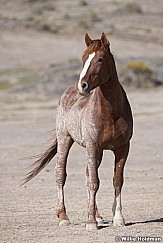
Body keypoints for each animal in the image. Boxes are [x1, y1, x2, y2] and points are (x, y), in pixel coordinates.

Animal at [23, 32, 133, 232]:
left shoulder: (122, 148)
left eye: (100, 59)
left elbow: (116, 181)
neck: (110, 111)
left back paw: (98, 216)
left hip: (97, 152)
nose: (82, 86)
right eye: (83, 58)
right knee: (61, 174)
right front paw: (90, 223)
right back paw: (63, 217)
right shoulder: (92, 146)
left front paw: (118, 218)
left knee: (88, 174)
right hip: (65, 140)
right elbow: (94, 182)